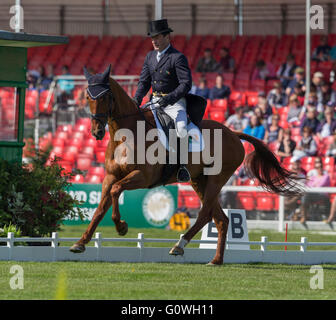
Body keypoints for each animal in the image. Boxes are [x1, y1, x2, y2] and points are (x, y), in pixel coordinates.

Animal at [69, 65, 300, 264]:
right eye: (88, 96)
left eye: (105, 96)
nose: (96, 132)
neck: (126, 135)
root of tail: (233, 133)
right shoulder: (109, 176)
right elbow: (101, 208)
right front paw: (81, 243)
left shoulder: (141, 177)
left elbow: (116, 191)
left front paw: (121, 227)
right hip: (199, 181)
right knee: (221, 219)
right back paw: (216, 260)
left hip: (216, 179)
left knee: (205, 214)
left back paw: (179, 245)